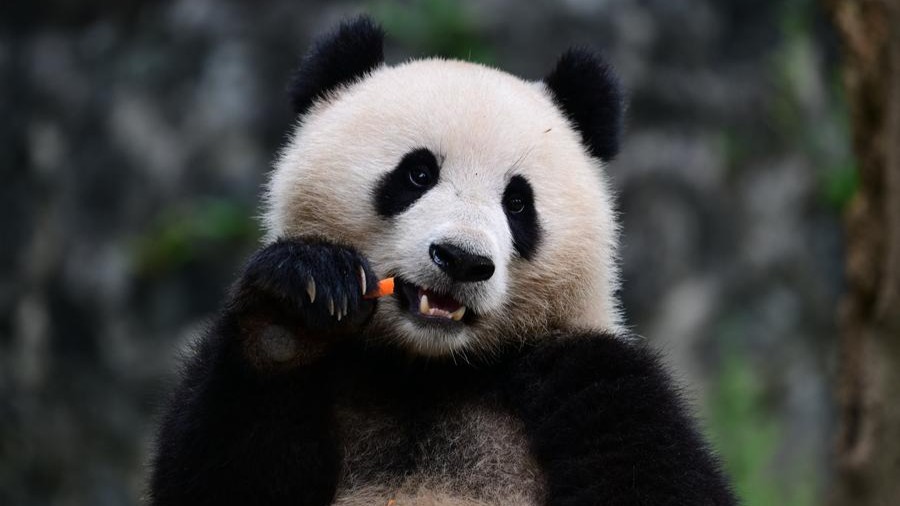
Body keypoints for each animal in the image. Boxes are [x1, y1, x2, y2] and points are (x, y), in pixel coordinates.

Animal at [149, 15, 740, 506]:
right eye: (417, 173)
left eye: (517, 203)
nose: (461, 260)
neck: (430, 370)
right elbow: (222, 475)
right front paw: (296, 310)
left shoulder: (598, 379)